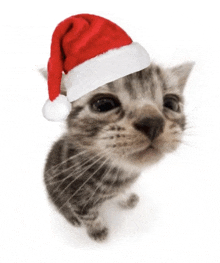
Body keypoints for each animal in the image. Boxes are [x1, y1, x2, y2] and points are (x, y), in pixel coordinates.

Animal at [42, 62, 193, 241]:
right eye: (103, 105)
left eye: (171, 103)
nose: (152, 122)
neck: (119, 172)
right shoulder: (76, 197)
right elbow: (90, 216)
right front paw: (97, 230)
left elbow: (121, 192)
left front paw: (126, 198)